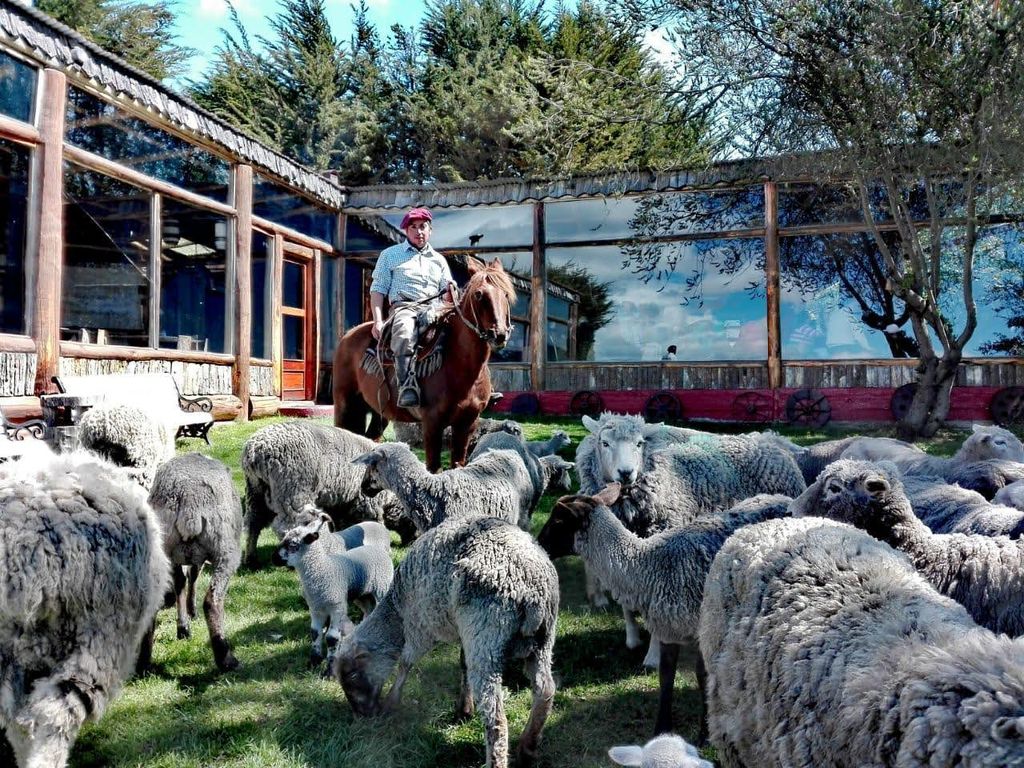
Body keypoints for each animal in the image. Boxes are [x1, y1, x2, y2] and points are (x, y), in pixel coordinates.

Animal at [140, 452, 243, 672]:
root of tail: (188, 501)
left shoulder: (177, 560)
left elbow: (181, 582)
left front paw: (183, 626)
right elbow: (192, 577)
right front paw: (190, 613)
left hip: (160, 549)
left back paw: (144, 662)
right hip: (225, 550)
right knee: (212, 600)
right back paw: (226, 659)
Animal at [241, 420, 414, 568]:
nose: (411, 543)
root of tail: (256, 450)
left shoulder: (339, 503)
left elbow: (340, 526)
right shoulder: (367, 504)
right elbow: (372, 524)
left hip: (256, 491)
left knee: (253, 524)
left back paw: (251, 559)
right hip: (291, 491)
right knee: (286, 526)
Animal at [273, 514, 393, 671]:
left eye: (293, 545)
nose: (273, 558)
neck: (323, 569)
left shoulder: (337, 606)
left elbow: (331, 638)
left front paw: (329, 668)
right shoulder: (315, 608)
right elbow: (315, 633)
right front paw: (314, 661)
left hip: (382, 587)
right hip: (363, 594)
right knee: (369, 610)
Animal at [336, 515, 558, 768]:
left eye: (352, 675)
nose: (362, 716)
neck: (396, 611)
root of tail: (533, 594)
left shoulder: (421, 627)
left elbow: (405, 663)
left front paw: (391, 702)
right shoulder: (463, 635)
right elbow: (462, 665)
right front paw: (464, 708)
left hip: (486, 639)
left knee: (496, 718)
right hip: (540, 642)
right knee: (545, 689)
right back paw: (528, 747)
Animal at [538, 484, 791, 736]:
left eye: (558, 521)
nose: (539, 544)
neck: (646, 564)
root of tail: (781, 497)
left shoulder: (700, 629)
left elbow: (701, 676)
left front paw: (704, 732)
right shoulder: (669, 629)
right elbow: (666, 676)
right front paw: (662, 729)